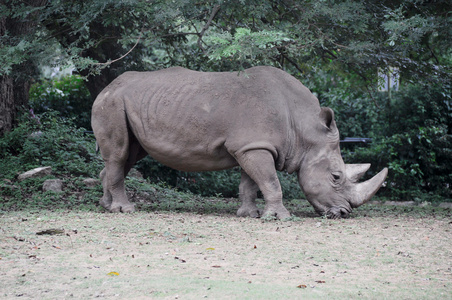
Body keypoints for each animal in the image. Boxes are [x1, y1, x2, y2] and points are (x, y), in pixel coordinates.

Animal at [92, 67, 388, 219]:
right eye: (336, 177)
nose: (344, 213)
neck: (304, 129)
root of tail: (106, 88)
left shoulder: (252, 145)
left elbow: (251, 182)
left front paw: (249, 214)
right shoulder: (255, 146)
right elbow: (270, 181)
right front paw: (279, 217)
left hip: (128, 103)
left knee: (127, 155)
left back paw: (106, 206)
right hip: (112, 103)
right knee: (119, 154)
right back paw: (125, 210)